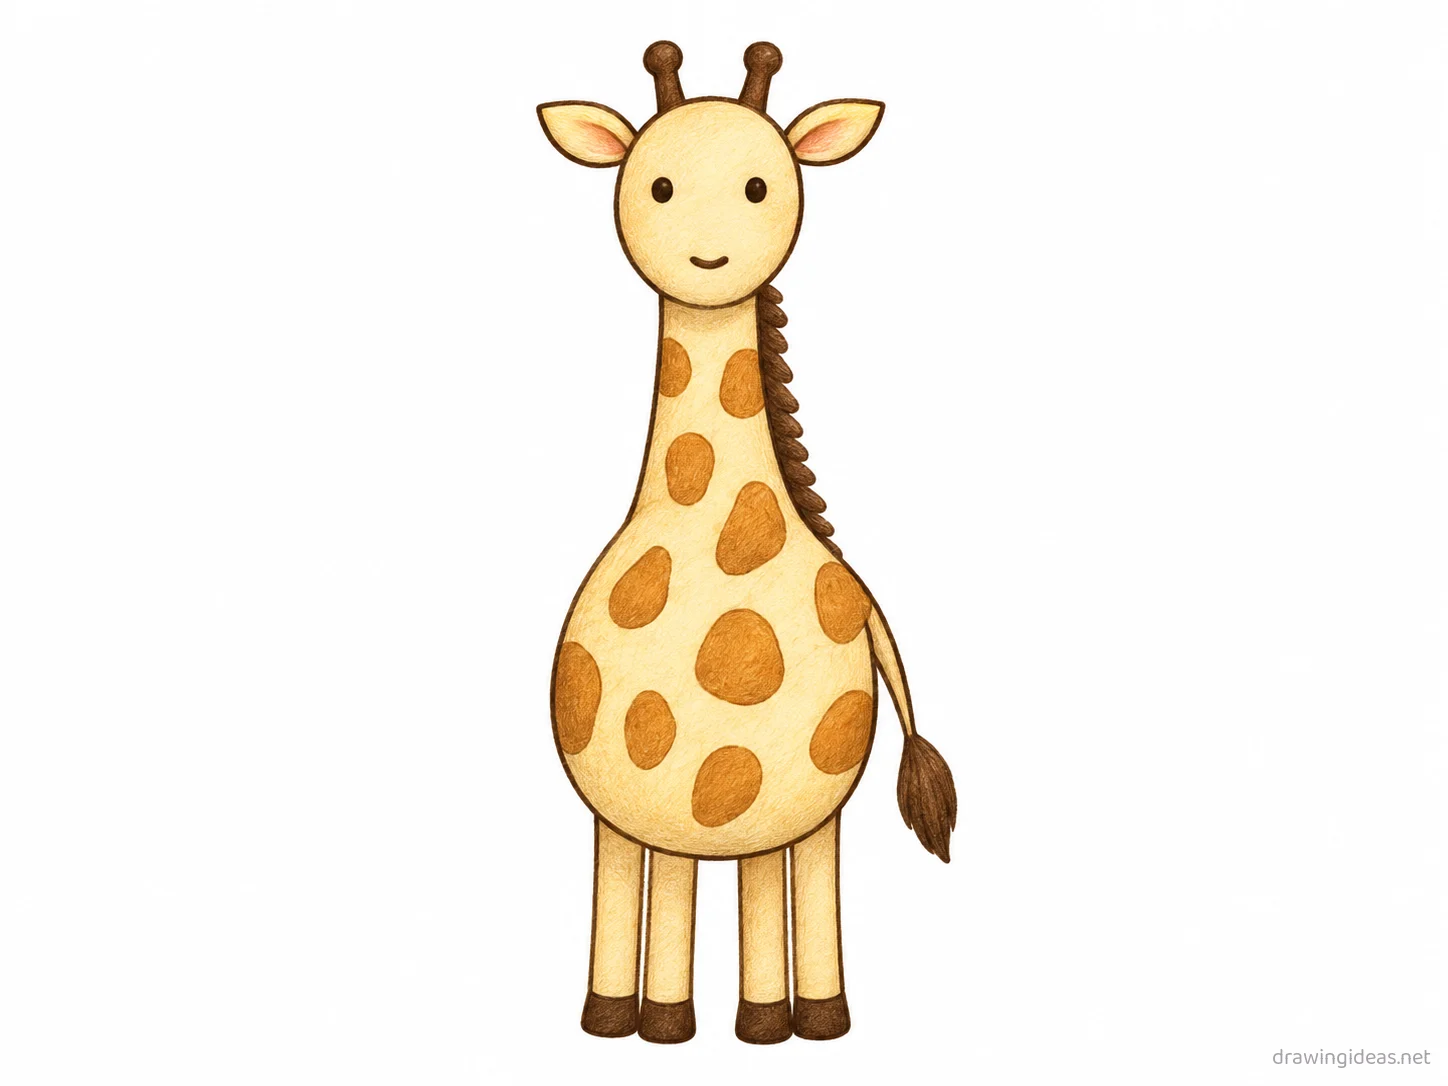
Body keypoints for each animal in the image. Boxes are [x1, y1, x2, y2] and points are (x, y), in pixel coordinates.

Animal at [538, 41, 957, 1045]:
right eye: (656, 183)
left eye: (761, 184)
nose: (708, 250)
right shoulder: (629, 808)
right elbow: (658, 901)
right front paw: (650, 1019)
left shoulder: (791, 806)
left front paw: (739, 1021)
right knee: (664, 886)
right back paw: (630, 1014)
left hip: (806, 810)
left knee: (784, 887)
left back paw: (799, 1018)